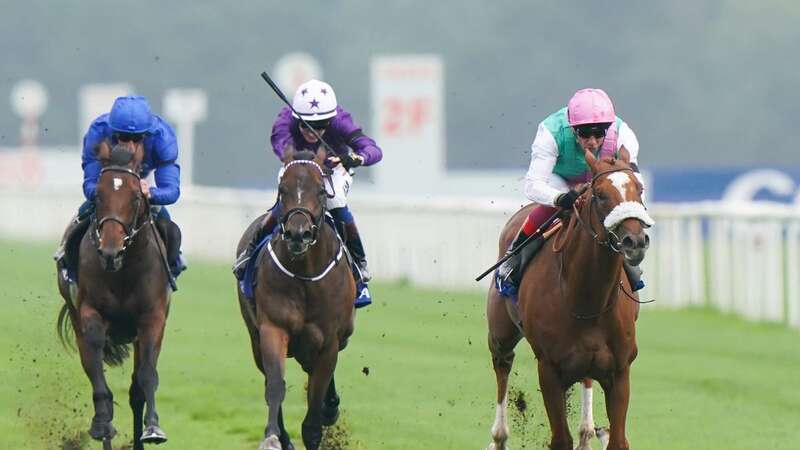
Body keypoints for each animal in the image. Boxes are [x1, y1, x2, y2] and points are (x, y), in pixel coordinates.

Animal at [56, 141, 172, 450]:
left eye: (135, 197)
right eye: (98, 195)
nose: (110, 252)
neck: (123, 271)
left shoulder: (152, 318)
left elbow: (146, 376)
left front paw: (153, 428)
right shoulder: (90, 312)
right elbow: (98, 373)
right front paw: (102, 423)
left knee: (136, 390)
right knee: (92, 367)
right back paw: (104, 424)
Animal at [234, 148, 354, 450]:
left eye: (321, 190)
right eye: (282, 189)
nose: (298, 233)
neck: (306, 275)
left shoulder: (328, 341)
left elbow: (315, 404)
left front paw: (324, 414)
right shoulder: (273, 328)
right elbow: (276, 385)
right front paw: (273, 437)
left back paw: (330, 407)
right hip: (255, 337)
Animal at [484, 149, 652, 450]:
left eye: (640, 189)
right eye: (600, 194)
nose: (635, 241)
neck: (586, 299)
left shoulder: (620, 370)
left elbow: (617, 440)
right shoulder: (549, 369)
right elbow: (561, 439)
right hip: (500, 334)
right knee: (502, 365)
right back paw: (498, 437)